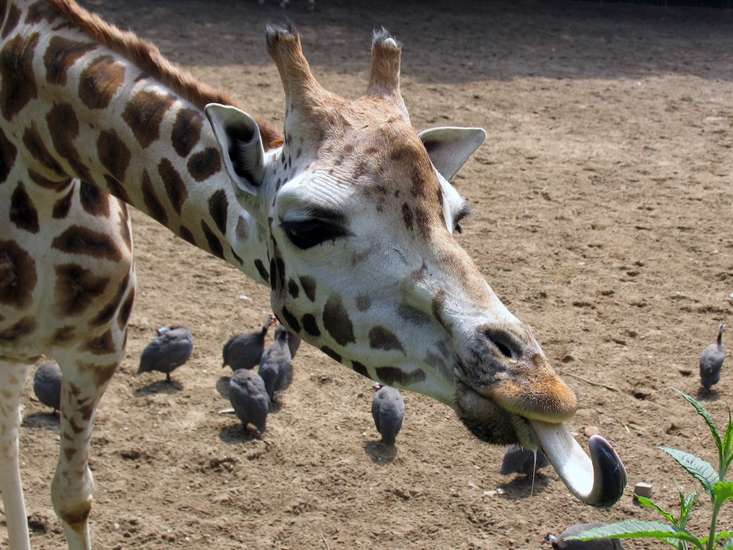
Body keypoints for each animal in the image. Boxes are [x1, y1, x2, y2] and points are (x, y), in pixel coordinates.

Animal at [0, 0, 626, 548]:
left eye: (459, 214)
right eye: (305, 226)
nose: (542, 391)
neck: (41, 154)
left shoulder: (97, 350)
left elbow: (71, 495)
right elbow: (49, 488)